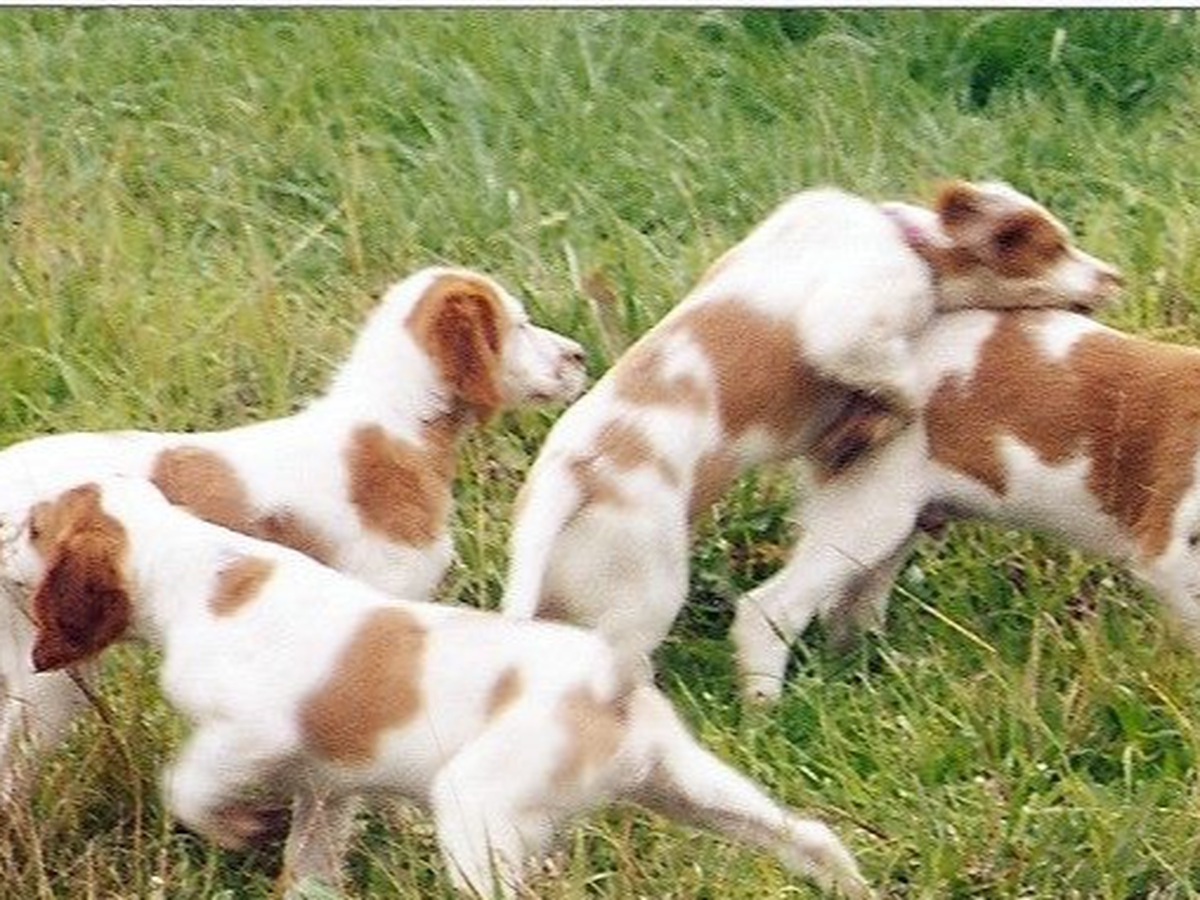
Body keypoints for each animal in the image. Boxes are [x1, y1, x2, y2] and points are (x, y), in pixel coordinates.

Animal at [8, 478, 873, 899]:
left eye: (34, 528)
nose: (2, 534)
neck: (197, 568)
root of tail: (607, 673)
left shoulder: (250, 733)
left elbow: (184, 785)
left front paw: (236, 828)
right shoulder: (328, 792)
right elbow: (310, 865)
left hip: (476, 812)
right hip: (685, 785)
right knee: (808, 836)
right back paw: (849, 888)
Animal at [502, 182, 1123, 673]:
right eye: (1054, 247)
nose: (1115, 277)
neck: (907, 239)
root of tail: (572, 474)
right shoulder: (850, 323)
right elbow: (904, 383)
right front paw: (873, 422)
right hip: (645, 594)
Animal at [731, 306, 1200, 703]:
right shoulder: (1170, 561)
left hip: (894, 526)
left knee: (848, 610)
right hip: (868, 517)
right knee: (770, 609)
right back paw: (765, 713)